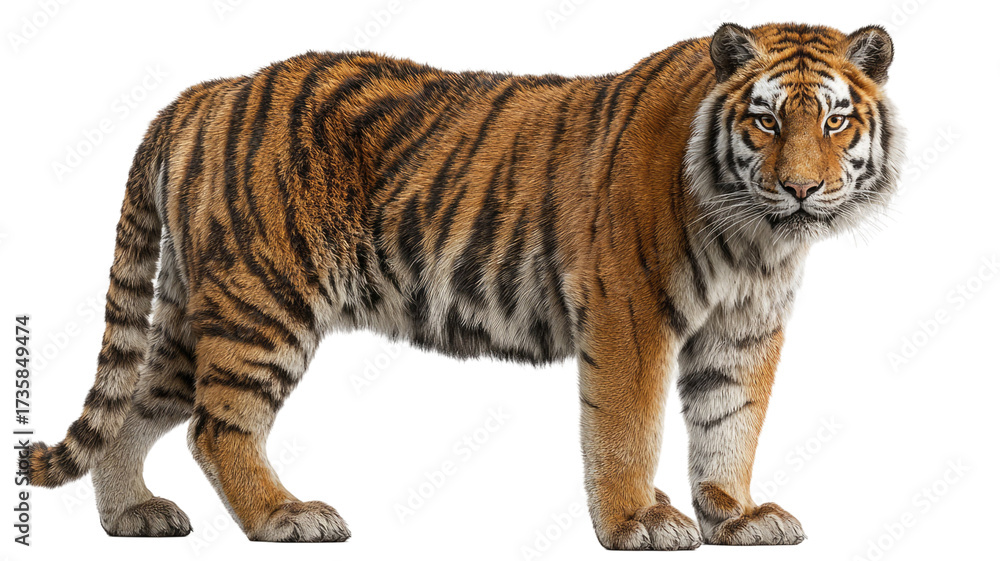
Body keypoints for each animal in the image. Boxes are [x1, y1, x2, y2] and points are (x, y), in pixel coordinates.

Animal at [20, 22, 902, 549]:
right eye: (765, 120)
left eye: (834, 121)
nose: (800, 189)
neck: (756, 236)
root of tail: (201, 93)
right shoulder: (629, 313)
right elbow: (628, 430)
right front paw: (637, 521)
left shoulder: (743, 328)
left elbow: (730, 422)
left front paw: (736, 514)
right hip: (263, 301)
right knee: (216, 425)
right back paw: (285, 514)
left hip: (191, 310)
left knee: (134, 405)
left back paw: (133, 513)